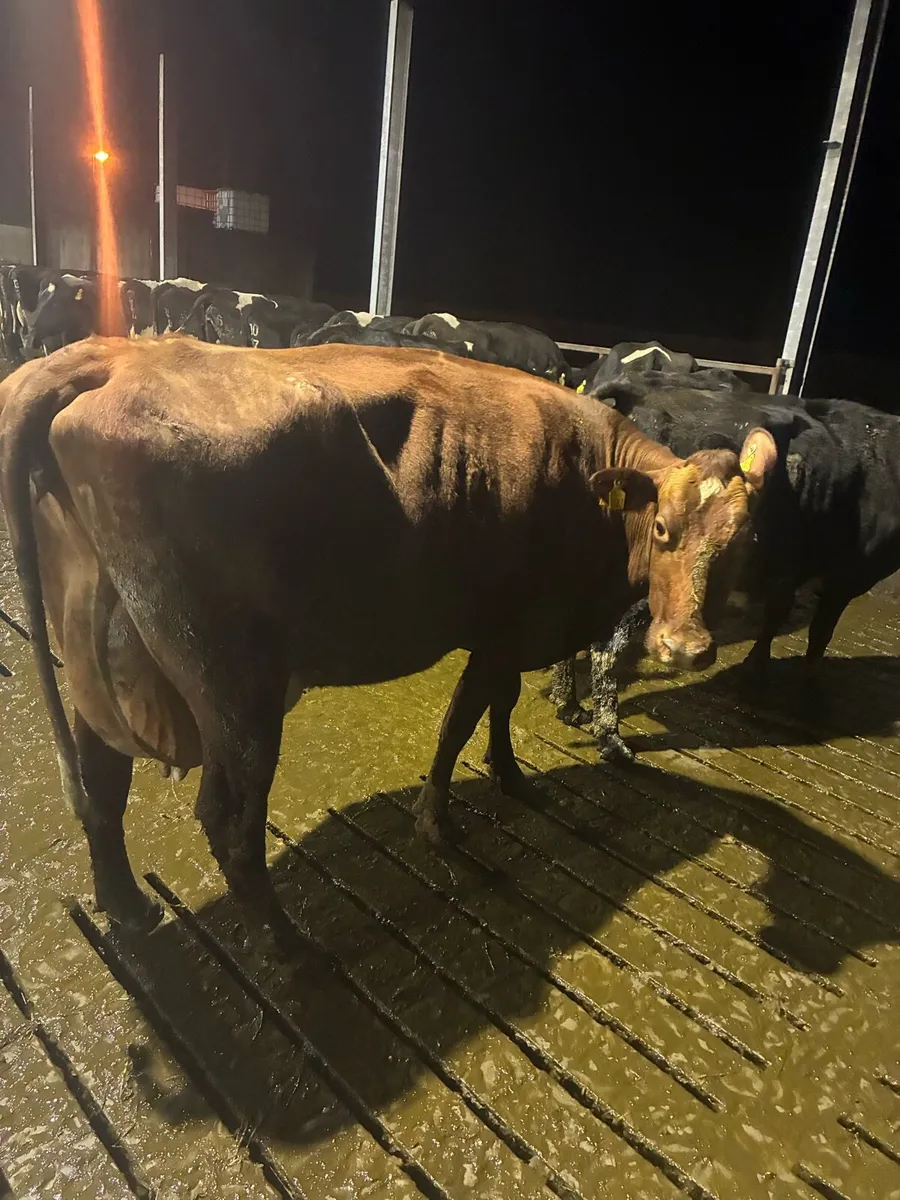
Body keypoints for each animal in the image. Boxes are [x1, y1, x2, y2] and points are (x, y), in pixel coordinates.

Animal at [0, 337, 772, 950]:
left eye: (745, 544)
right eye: (665, 529)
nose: (688, 647)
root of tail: (113, 354)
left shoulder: (512, 630)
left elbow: (498, 707)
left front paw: (511, 778)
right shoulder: (507, 628)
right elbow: (465, 716)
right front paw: (439, 823)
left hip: (105, 658)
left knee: (102, 784)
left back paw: (128, 909)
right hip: (234, 688)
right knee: (228, 821)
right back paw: (287, 943)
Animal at [551, 370, 900, 759]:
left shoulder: (791, 574)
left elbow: (776, 618)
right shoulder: (844, 578)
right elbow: (818, 634)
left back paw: (569, 707)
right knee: (605, 647)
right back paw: (610, 738)